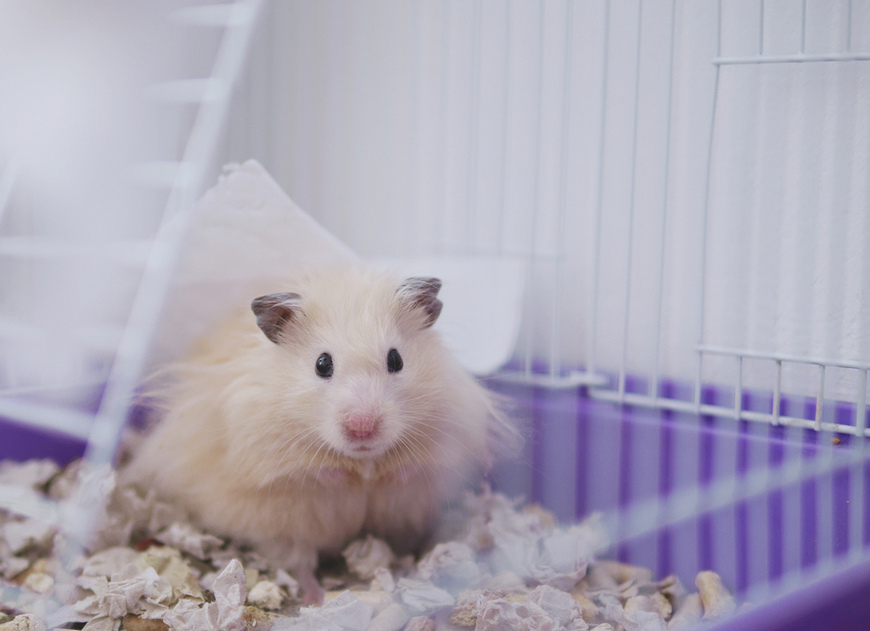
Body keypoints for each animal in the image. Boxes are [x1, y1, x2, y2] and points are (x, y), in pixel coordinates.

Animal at [126, 266, 516, 604]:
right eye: (322, 364)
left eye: (396, 360)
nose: (362, 427)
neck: (361, 455)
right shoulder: (253, 444)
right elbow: (305, 470)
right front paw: (349, 478)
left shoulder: (452, 431)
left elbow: (417, 464)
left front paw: (382, 476)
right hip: (283, 528)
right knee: (300, 563)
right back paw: (315, 598)